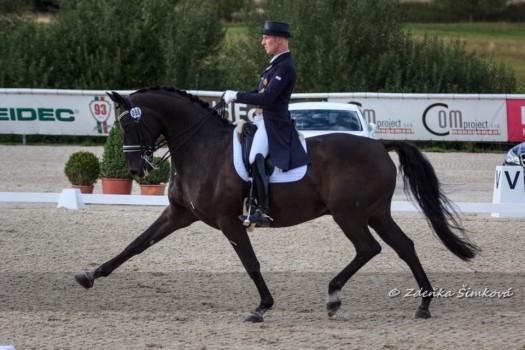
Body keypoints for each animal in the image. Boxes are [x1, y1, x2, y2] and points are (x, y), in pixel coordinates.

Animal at [73, 86, 478, 322]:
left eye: (130, 124)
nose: (135, 169)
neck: (201, 149)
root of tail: (379, 146)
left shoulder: (228, 220)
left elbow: (250, 263)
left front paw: (261, 307)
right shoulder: (179, 214)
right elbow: (136, 245)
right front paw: (89, 276)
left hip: (349, 214)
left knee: (369, 248)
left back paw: (334, 296)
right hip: (375, 212)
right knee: (403, 246)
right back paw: (423, 304)